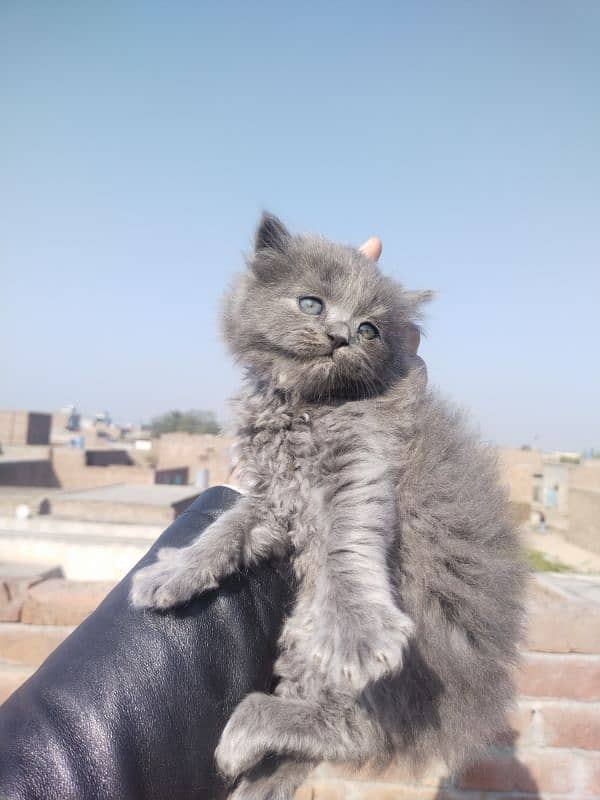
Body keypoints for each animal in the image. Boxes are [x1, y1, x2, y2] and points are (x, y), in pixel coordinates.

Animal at [131, 214, 524, 800]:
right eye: (311, 304)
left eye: (369, 330)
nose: (340, 336)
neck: (306, 404)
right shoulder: (274, 498)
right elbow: (224, 531)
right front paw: (173, 573)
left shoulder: (361, 465)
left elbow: (346, 543)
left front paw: (356, 632)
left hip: (375, 653)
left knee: (356, 732)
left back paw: (248, 727)